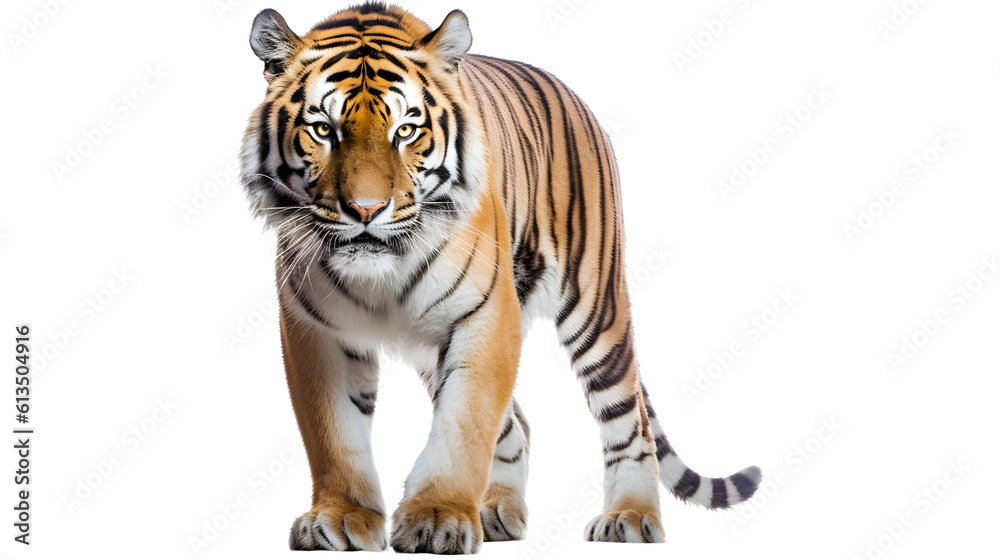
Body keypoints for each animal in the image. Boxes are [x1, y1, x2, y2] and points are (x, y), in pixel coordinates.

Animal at [239, 2, 761, 553]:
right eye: (324, 130)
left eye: (405, 131)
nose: (365, 209)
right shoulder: (315, 330)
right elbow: (334, 434)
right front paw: (340, 519)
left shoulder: (484, 315)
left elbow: (464, 422)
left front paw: (438, 517)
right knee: (519, 426)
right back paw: (497, 511)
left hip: (595, 306)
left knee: (628, 419)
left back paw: (631, 517)